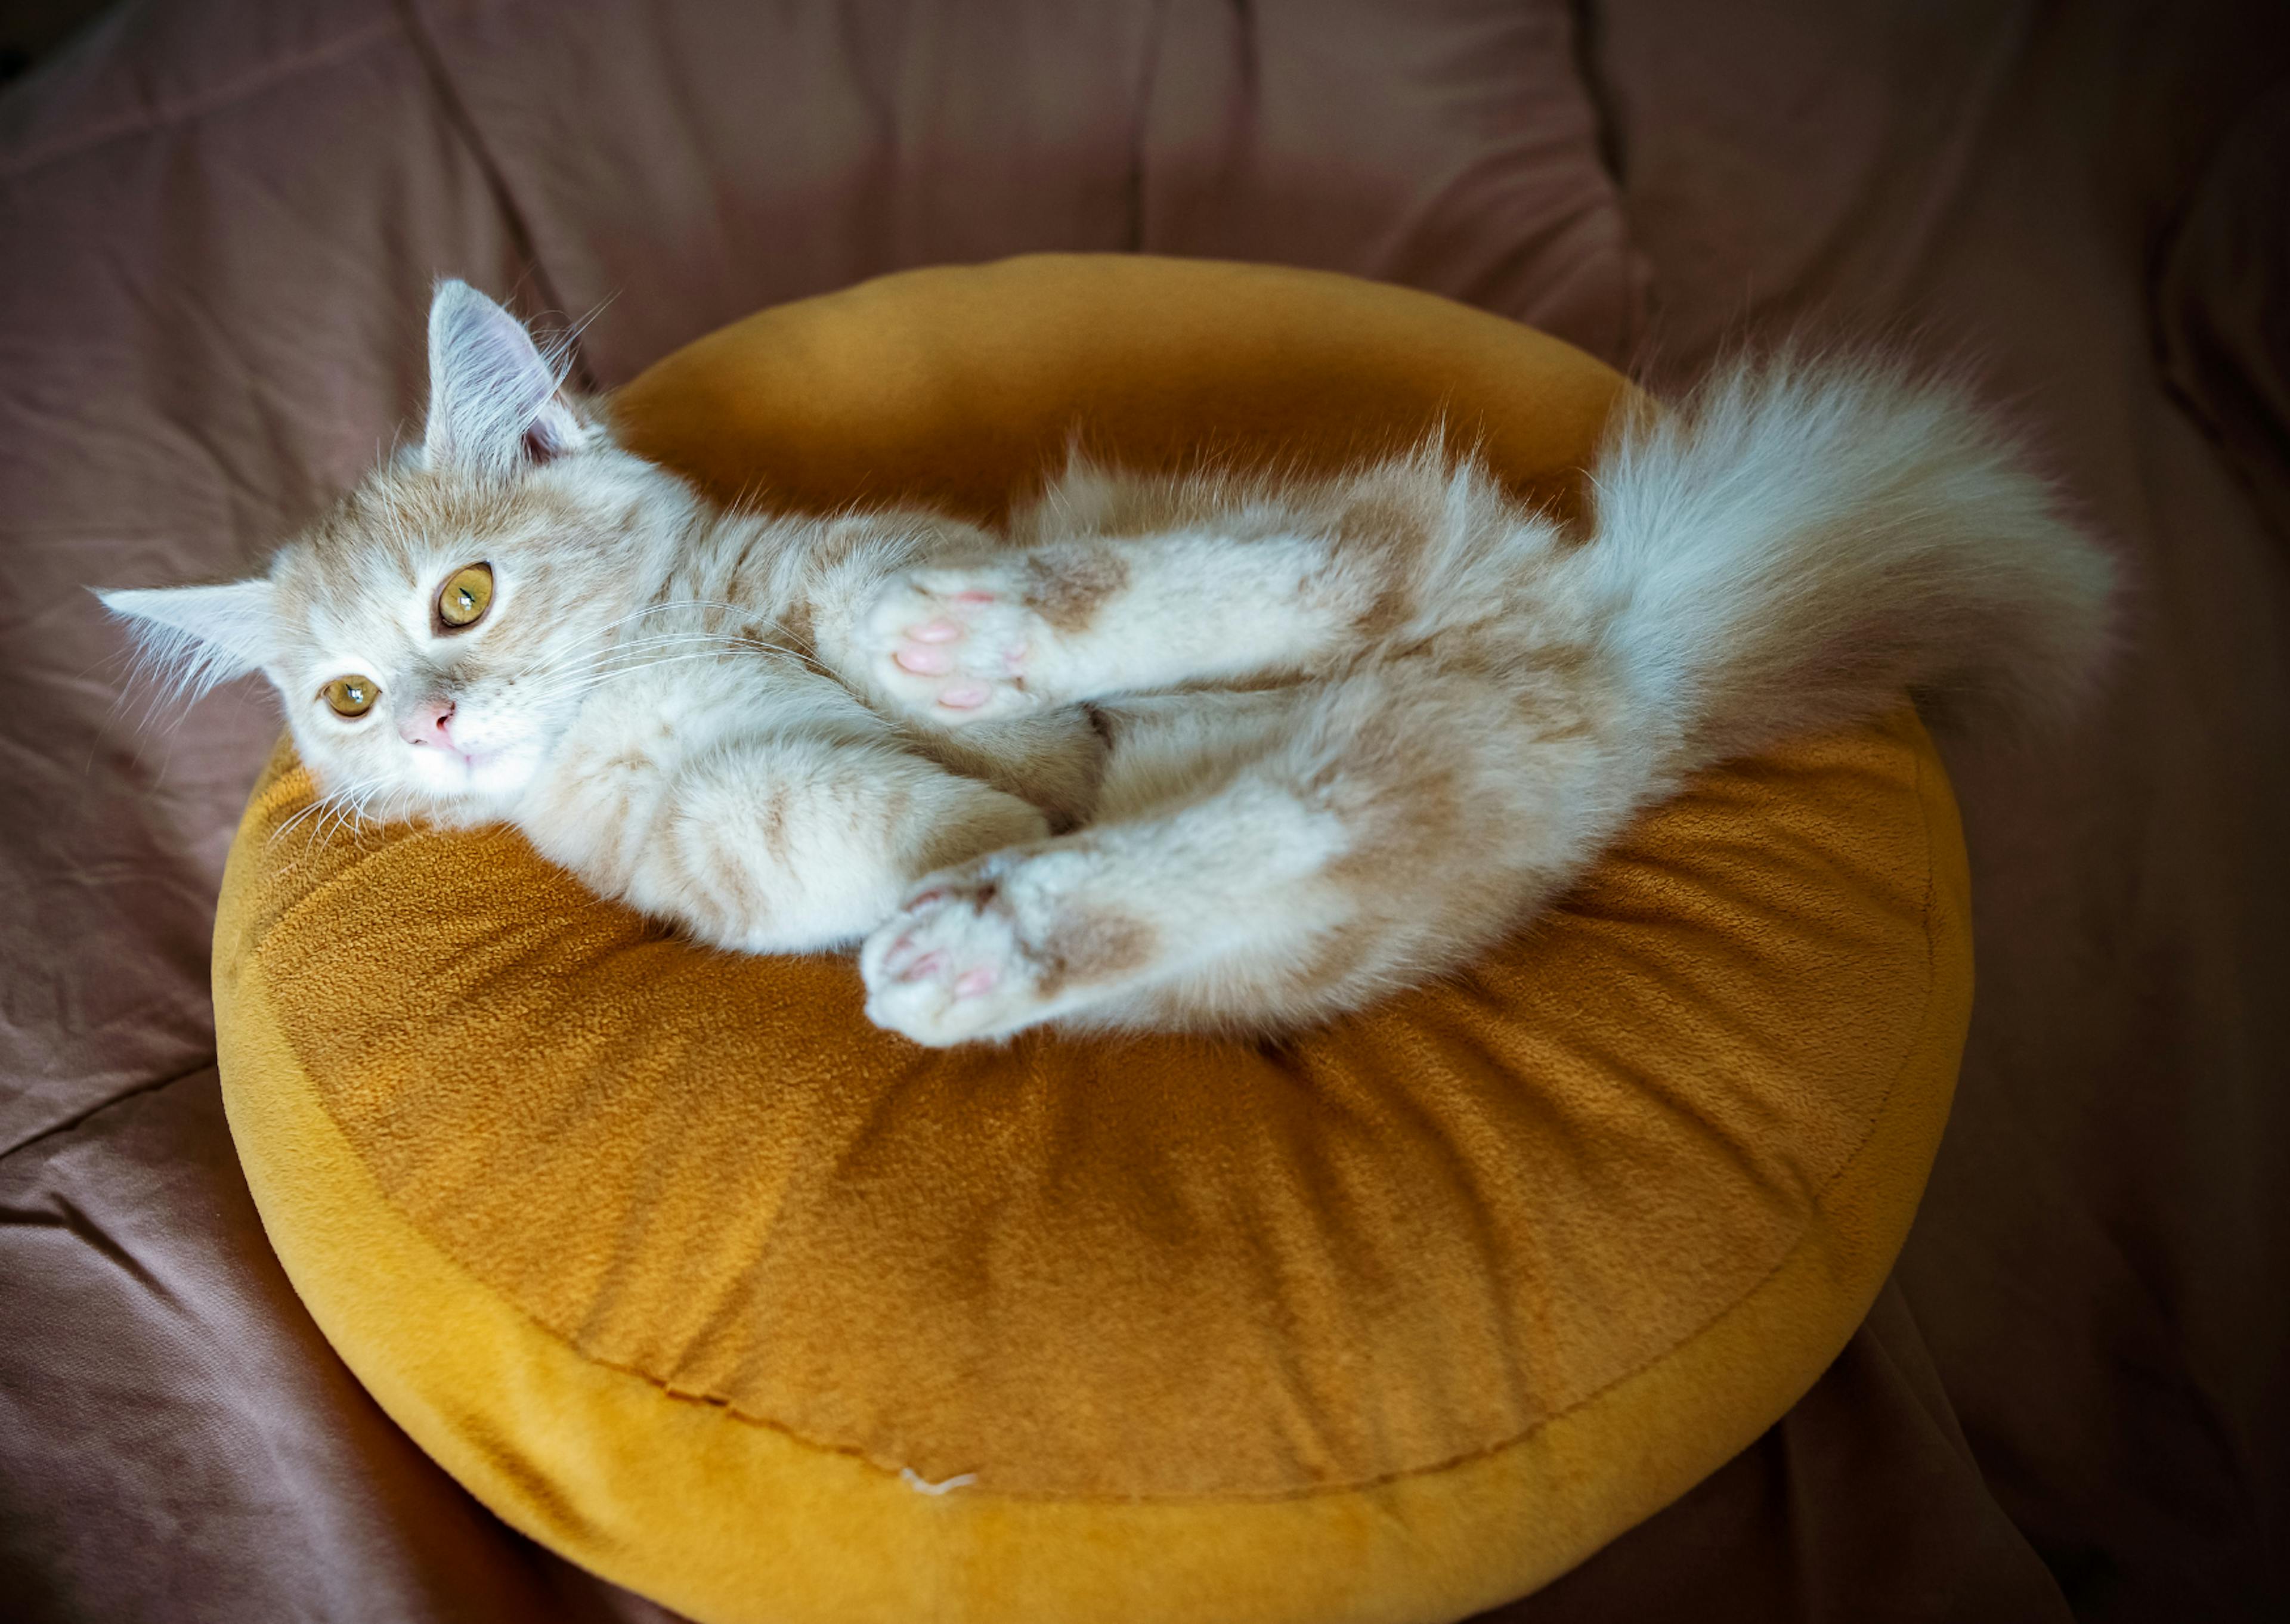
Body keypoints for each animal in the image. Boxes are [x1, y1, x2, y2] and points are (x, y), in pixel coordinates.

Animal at [103, 280, 2106, 1044]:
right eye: (346, 701)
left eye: (459, 602)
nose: (436, 718)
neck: (643, 678)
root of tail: (1623, 649)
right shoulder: (710, 841)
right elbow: (864, 812)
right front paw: (975, 829)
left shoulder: (837, 548)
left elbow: (880, 640)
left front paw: (959, 700)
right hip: (1359, 835)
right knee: (1266, 819)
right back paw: (987, 934)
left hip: (1329, 586)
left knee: (1303, 585)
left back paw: (982, 660)